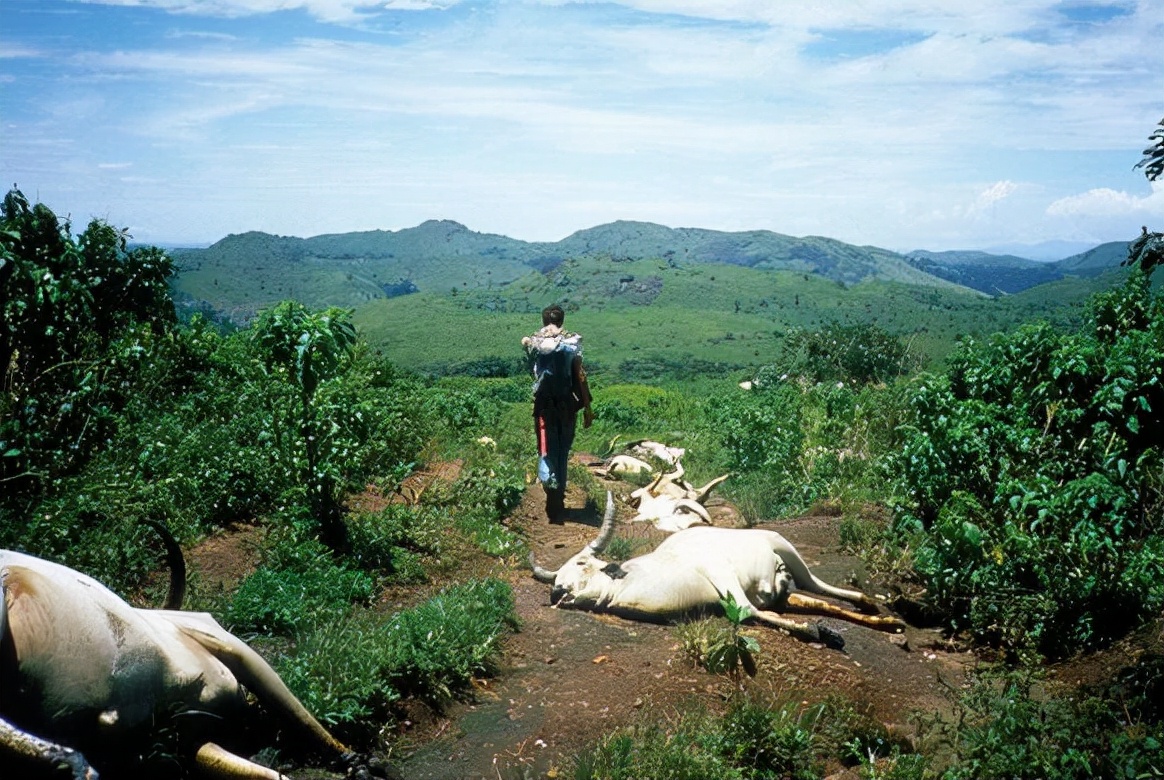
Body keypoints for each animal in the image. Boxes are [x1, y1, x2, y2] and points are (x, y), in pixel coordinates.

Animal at [0, 530, 395, 780]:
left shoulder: (187, 740)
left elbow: (271, 773)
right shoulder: (219, 639)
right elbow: (292, 710)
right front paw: (356, 762)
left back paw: (66, 760)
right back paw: (68, 760)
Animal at [533, 495, 903, 651]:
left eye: (581, 563)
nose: (557, 591)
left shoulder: (721, 573)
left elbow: (750, 609)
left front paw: (817, 631)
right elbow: (753, 612)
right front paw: (819, 631)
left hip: (785, 547)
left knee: (819, 586)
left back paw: (871, 605)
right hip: (784, 588)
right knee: (811, 599)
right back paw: (882, 620)